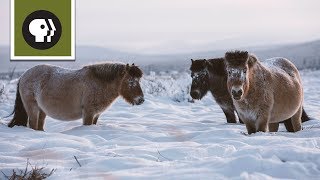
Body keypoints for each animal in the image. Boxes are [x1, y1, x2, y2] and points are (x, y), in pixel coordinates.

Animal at [7, 62, 145, 130]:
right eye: (131, 82)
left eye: (139, 80)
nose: (141, 100)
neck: (98, 82)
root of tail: (24, 75)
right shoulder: (88, 113)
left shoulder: (96, 115)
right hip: (32, 108)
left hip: (42, 110)